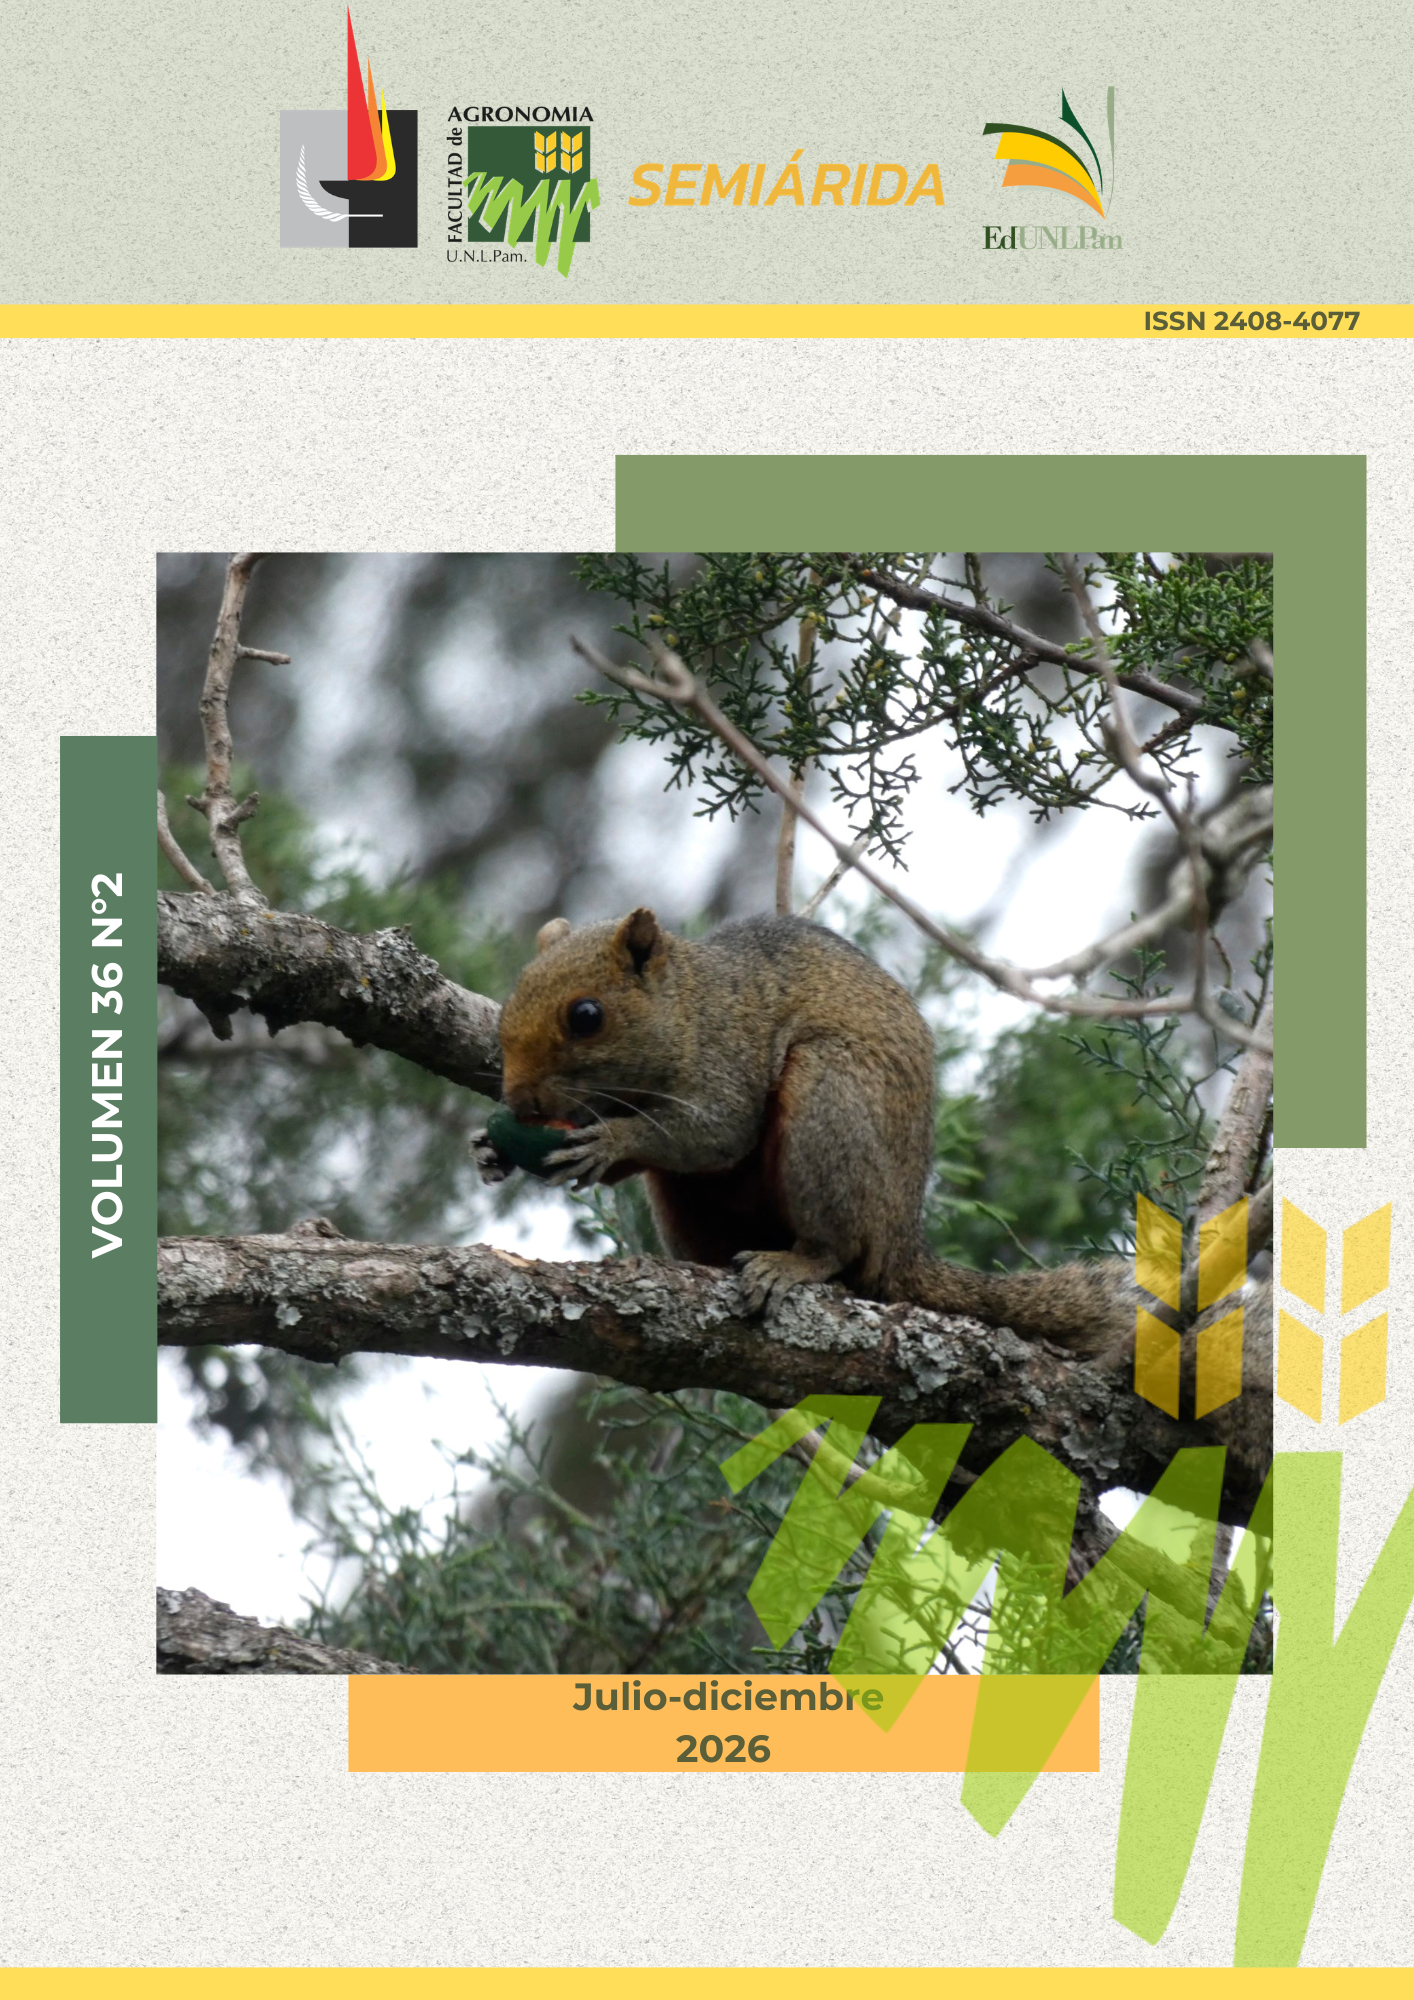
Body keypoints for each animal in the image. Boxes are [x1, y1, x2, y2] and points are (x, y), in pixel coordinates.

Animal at [471, 906, 1152, 1362]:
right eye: (513, 999)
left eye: (587, 1016)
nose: (520, 1099)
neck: (688, 1007)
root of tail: (903, 1241)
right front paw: (489, 1151)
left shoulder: (730, 1056)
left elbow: (716, 1133)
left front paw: (610, 1140)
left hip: (829, 1103)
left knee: (837, 1247)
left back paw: (793, 1263)